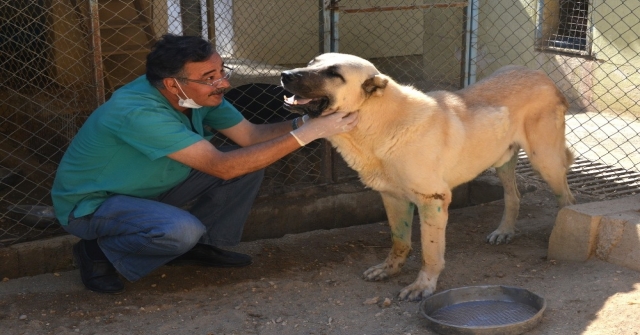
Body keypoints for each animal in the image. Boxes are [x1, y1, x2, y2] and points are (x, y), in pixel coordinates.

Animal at [280, 54, 576, 302]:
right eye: (312, 62)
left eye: (333, 73)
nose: (285, 74)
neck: (380, 121)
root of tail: (543, 77)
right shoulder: (393, 198)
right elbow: (399, 241)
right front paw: (389, 269)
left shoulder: (433, 200)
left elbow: (430, 252)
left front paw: (423, 285)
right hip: (502, 161)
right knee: (513, 196)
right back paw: (504, 231)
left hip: (545, 160)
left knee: (567, 198)